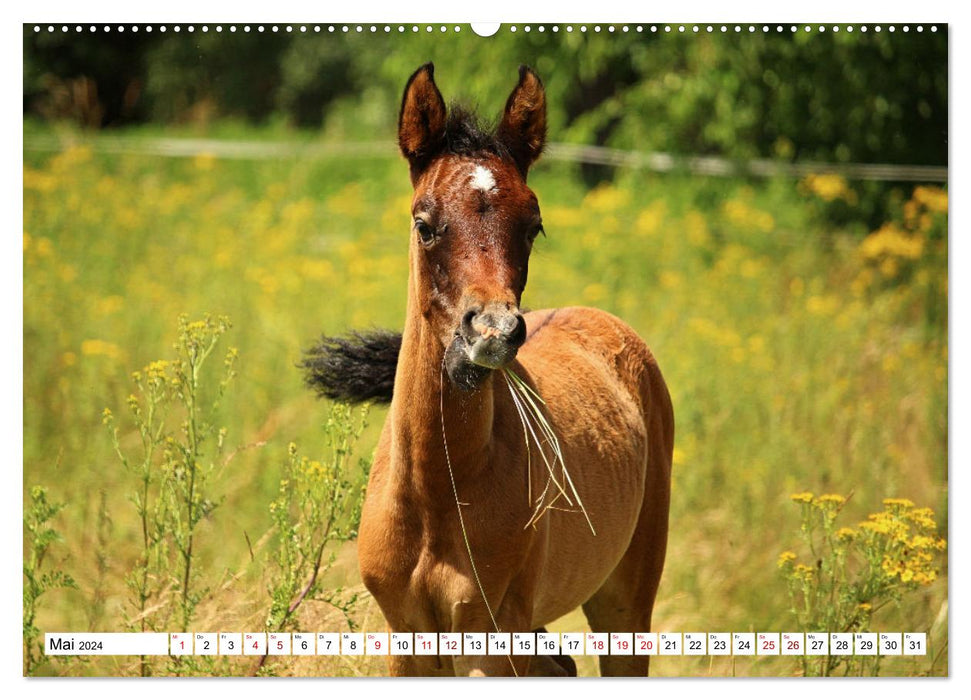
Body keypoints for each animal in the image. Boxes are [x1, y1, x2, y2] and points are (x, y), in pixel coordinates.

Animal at [308, 63, 672, 676]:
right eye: (424, 224)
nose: (494, 331)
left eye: (534, 225)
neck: (437, 492)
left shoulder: (490, 638)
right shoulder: (407, 640)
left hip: (623, 600)